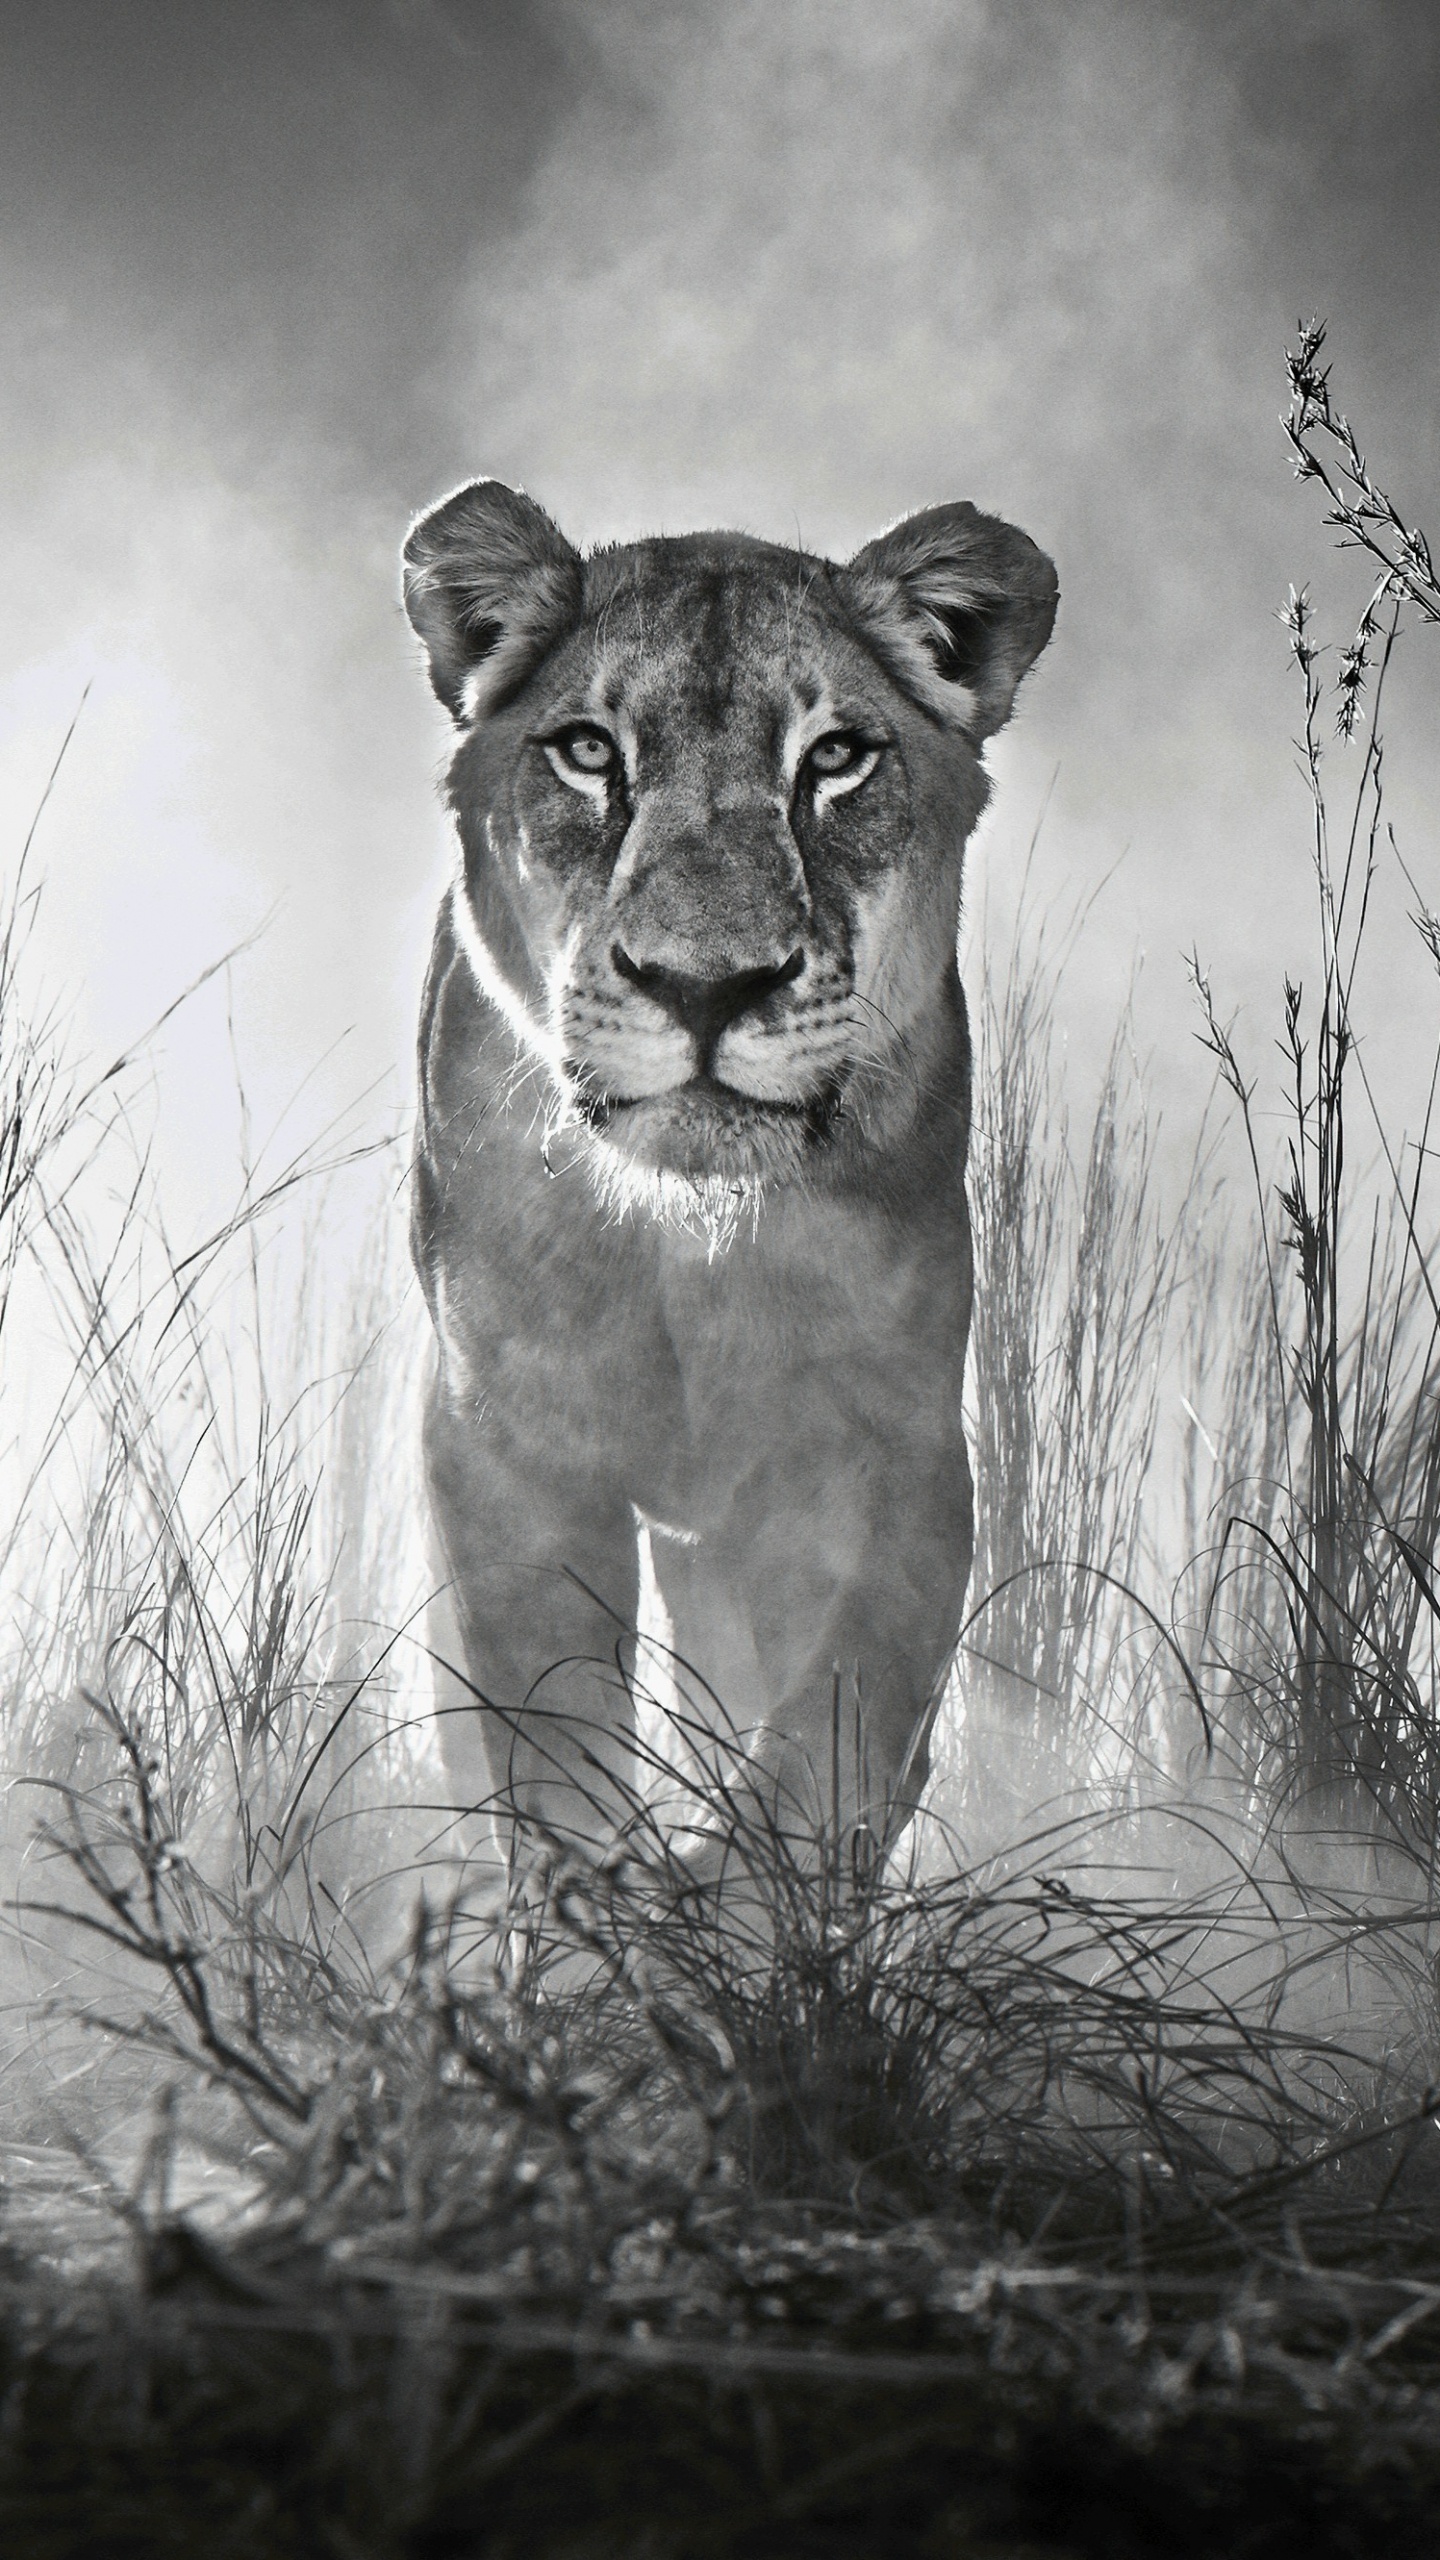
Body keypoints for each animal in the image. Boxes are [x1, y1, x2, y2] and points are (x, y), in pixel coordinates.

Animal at [403, 481, 1057, 1889]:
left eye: (837, 758)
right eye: (588, 752)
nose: (706, 986)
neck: (688, 1247)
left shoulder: (894, 1446)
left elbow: (836, 1728)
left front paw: (738, 1901)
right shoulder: (503, 1438)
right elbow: (549, 1726)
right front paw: (600, 1917)